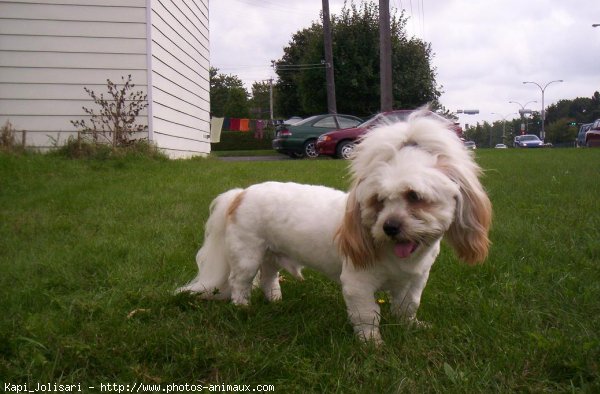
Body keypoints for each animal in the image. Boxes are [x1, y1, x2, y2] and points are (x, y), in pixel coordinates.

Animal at [178, 109, 492, 344]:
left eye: (414, 197)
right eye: (378, 201)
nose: (389, 227)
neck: (398, 256)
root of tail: (241, 193)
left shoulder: (415, 280)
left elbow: (408, 307)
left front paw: (411, 327)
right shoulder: (357, 284)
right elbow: (367, 315)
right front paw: (372, 345)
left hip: (270, 253)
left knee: (268, 277)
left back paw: (275, 300)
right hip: (247, 255)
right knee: (240, 283)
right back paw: (243, 308)